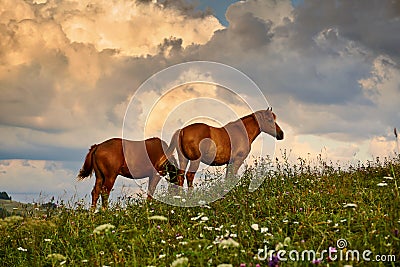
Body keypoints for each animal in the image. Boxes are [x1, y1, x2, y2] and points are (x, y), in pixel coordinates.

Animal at [156, 108, 284, 187]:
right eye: (269, 120)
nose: (281, 134)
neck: (242, 131)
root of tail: (182, 131)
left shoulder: (230, 162)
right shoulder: (237, 160)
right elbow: (231, 178)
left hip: (184, 159)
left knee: (181, 177)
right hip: (194, 160)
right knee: (189, 176)